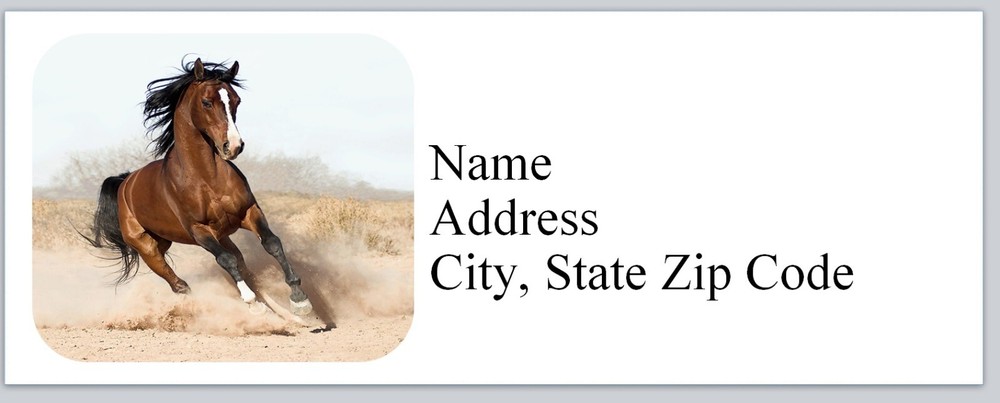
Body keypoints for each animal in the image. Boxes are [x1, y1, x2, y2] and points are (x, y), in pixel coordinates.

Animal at [83, 58, 313, 317]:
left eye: (236, 100)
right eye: (206, 102)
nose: (233, 146)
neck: (206, 178)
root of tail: (125, 183)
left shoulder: (249, 212)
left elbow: (271, 243)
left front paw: (300, 300)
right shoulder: (199, 230)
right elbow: (226, 260)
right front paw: (252, 302)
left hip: (204, 236)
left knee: (240, 263)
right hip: (147, 247)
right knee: (179, 284)